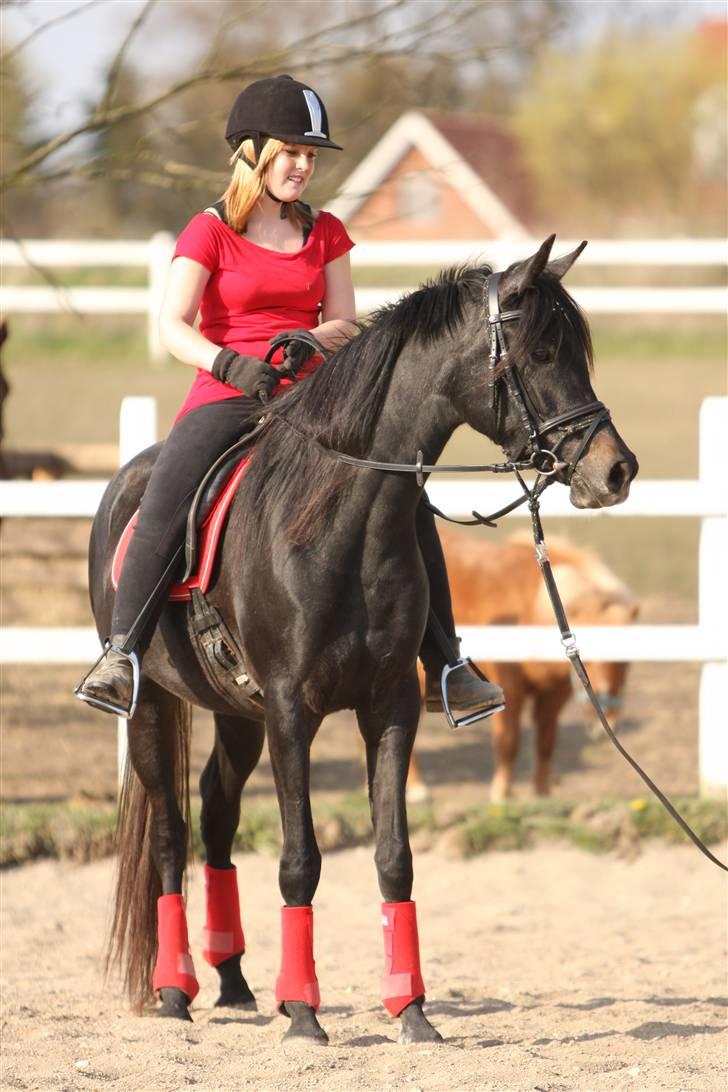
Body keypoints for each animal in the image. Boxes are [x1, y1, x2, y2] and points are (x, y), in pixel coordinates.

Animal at [408, 528, 641, 803]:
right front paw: (502, 794)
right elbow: (509, 741)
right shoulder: (509, 685)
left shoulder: (555, 693)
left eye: (626, 661)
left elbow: (546, 741)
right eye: (589, 658)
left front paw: (542, 794)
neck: (530, 605)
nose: (607, 722)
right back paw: (417, 788)